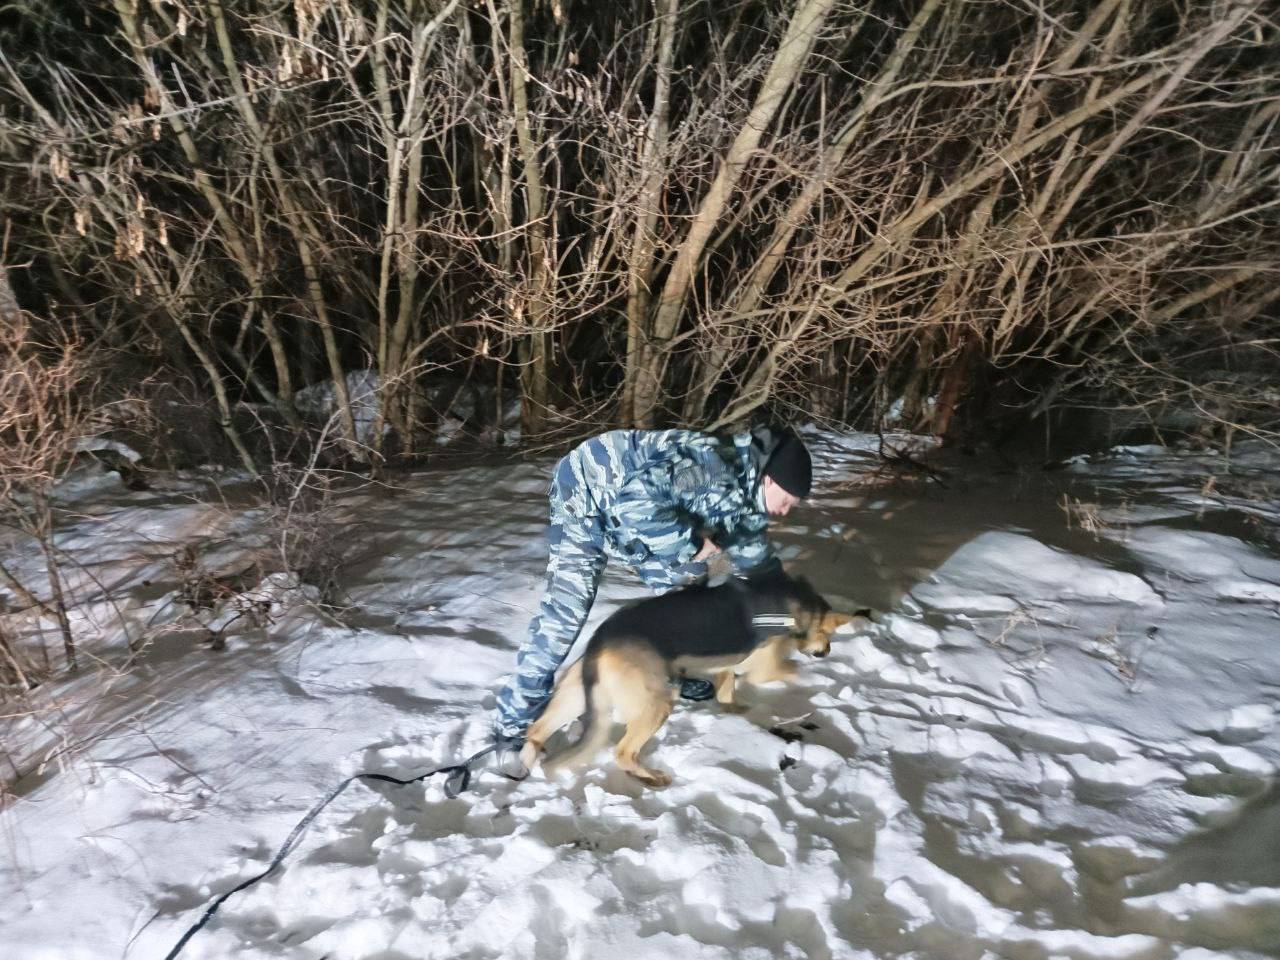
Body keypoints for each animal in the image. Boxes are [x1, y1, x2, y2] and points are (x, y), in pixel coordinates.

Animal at [519, 570, 870, 788]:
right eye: (828, 635)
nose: (826, 652)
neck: (794, 603)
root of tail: (599, 642)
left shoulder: (725, 666)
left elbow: (727, 691)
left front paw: (735, 710)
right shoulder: (763, 668)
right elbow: (794, 671)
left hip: (578, 698)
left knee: (535, 729)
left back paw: (528, 761)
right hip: (658, 702)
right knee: (623, 753)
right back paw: (652, 776)